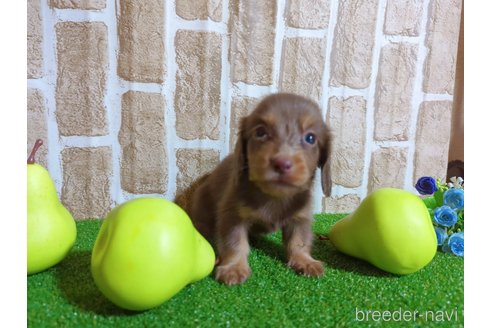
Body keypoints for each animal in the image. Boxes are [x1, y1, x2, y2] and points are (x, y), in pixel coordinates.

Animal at [175, 93, 332, 284]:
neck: (273, 196)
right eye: (260, 132)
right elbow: (235, 243)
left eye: (310, 138)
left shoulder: (300, 217)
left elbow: (299, 240)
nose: (282, 163)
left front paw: (305, 261)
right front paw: (234, 267)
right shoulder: (232, 215)